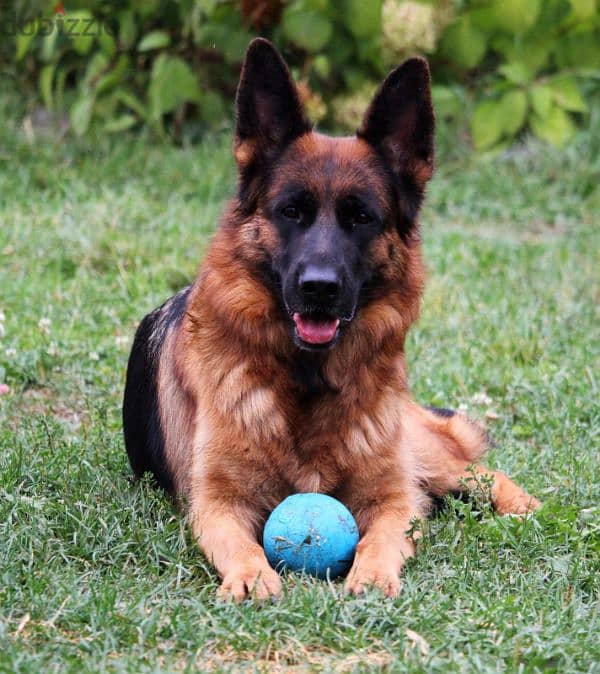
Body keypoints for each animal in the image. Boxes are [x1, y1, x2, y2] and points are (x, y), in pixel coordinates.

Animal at [123, 38, 540, 600]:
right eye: (291, 211)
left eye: (361, 217)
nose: (319, 288)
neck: (307, 381)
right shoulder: (216, 502)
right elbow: (240, 543)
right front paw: (251, 577)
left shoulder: (394, 497)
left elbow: (382, 535)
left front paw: (373, 575)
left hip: (423, 455)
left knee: (479, 472)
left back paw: (526, 508)